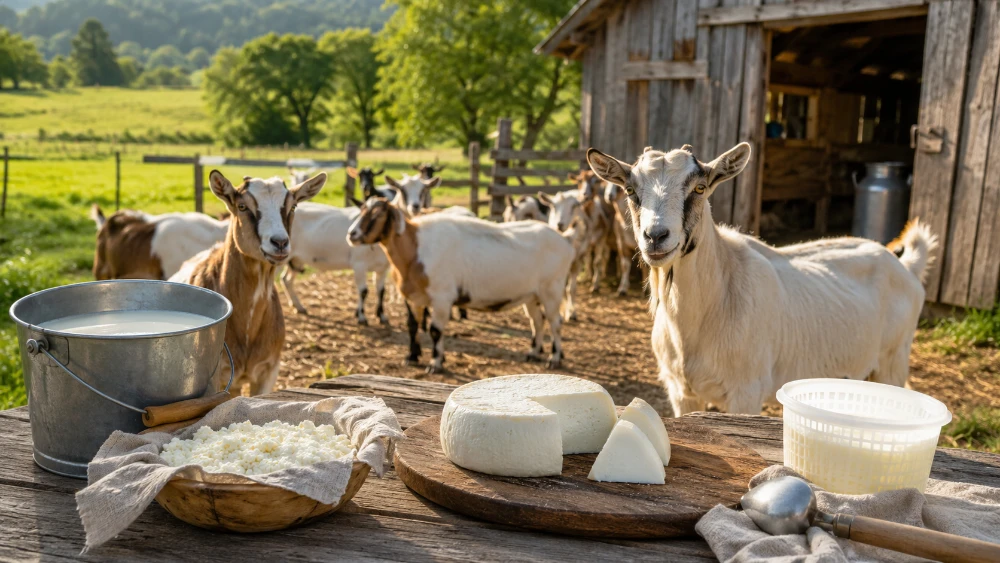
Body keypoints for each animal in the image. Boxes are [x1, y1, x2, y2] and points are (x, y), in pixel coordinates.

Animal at [346, 197, 575, 373]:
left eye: (377, 214)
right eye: (362, 209)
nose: (351, 234)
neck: (415, 249)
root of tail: (564, 241)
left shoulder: (442, 297)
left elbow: (435, 330)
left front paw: (436, 363)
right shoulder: (413, 298)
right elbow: (412, 326)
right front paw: (411, 356)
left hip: (552, 289)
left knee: (555, 322)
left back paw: (554, 358)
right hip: (532, 295)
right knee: (537, 321)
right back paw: (533, 352)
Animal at [587, 143, 937, 416]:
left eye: (699, 188)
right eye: (630, 190)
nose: (656, 236)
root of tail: (906, 266)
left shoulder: (746, 390)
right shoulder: (682, 392)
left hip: (892, 361)